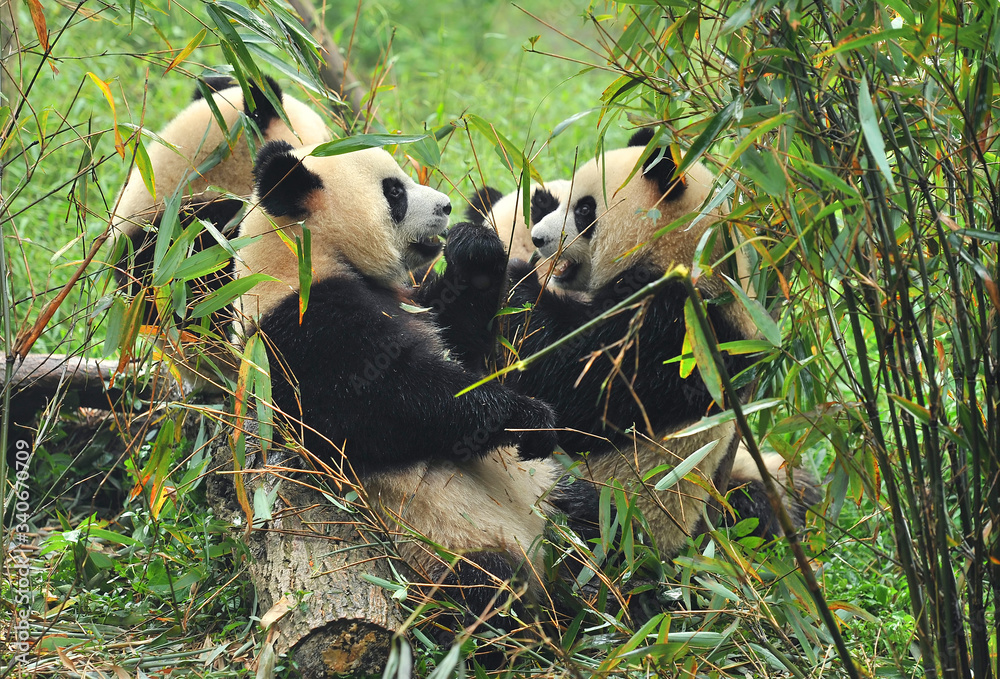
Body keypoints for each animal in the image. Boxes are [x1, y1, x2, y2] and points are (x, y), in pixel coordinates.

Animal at [234, 139, 584, 622]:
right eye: (394, 192)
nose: (446, 206)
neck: (300, 255)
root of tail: (542, 559)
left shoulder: (411, 301)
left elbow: (461, 337)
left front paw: (475, 247)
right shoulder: (298, 331)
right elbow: (391, 405)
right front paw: (528, 417)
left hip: (548, 489)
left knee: (592, 511)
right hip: (438, 548)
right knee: (480, 592)